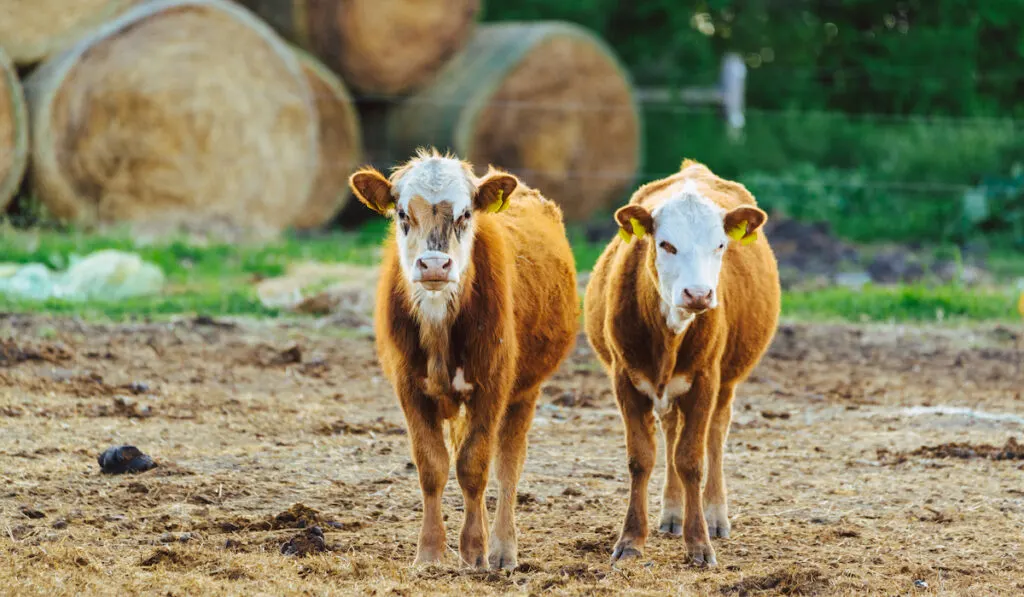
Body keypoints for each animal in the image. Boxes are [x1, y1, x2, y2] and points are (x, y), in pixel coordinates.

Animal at [350, 148, 577, 569]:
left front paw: (474, 550)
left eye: (466, 214)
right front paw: (429, 551)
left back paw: (502, 547)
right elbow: (432, 466)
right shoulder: (409, 388)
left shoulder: (492, 387)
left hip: (526, 392)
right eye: (402, 214)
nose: (434, 265)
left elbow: (474, 466)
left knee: (508, 466)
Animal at [581, 157, 778, 565]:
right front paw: (631, 539)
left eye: (720, 244)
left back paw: (716, 516)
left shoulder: (705, 380)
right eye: (666, 245)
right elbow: (641, 458)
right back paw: (672, 512)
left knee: (715, 436)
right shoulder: (625, 380)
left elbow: (692, 459)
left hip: (726, 381)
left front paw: (699, 542)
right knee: (671, 431)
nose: (699, 294)